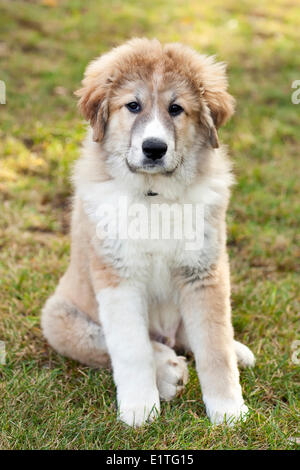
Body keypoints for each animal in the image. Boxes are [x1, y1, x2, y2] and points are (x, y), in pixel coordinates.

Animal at [41, 38, 254, 426]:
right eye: (133, 105)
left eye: (176, 108)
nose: (154, 148)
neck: (155, 197)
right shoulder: (118, 277)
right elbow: (131, 348)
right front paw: (140, 409)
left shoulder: (204, 271)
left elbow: (214, 347)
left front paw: (228, 411)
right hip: (58, 318)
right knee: (111, 343)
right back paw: (168, 372)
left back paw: (236, 351)